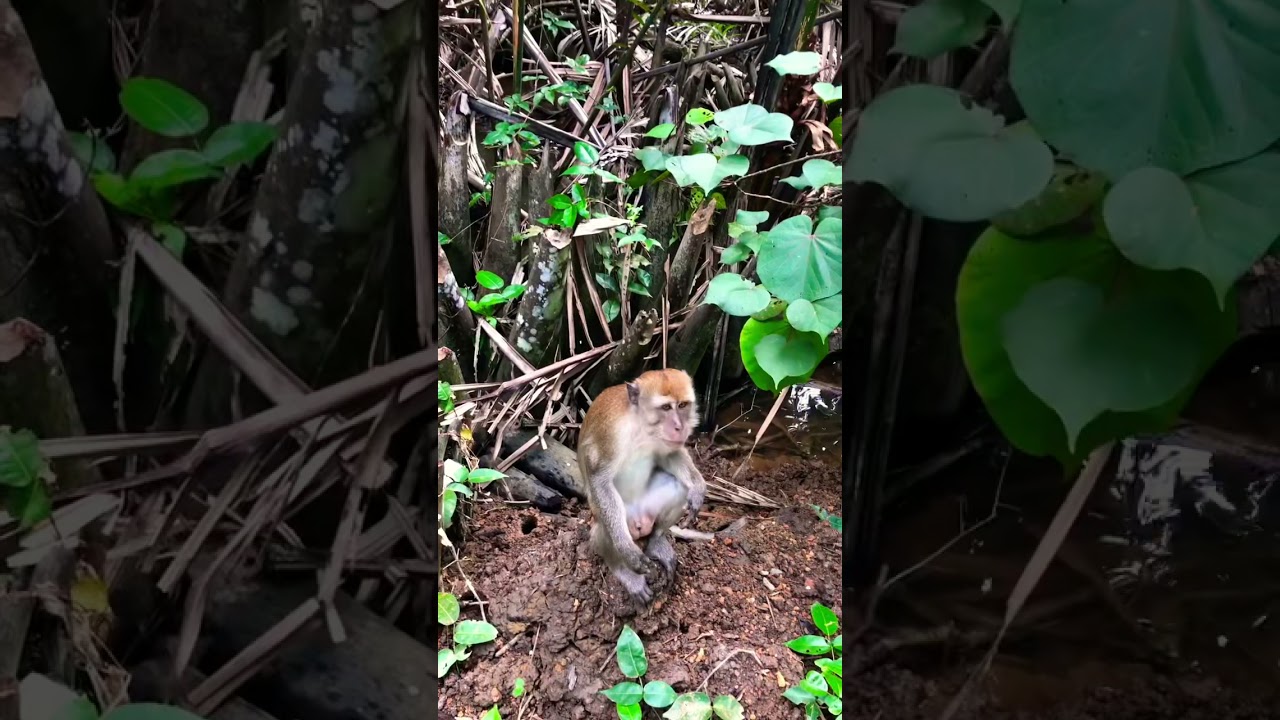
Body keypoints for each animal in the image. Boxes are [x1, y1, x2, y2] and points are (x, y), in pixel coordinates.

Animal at [578, 369, 708, 603]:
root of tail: (639, 523)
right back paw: (624, 572)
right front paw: (627, 552)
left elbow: (670, 455)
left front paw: (698, 487)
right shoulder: (611, 435)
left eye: (683, 405)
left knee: (676, 487)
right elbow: (600, 480)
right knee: (605, 527)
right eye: (665, 408)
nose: (680, 427)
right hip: (618, 519)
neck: (642, 428)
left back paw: (656, 542)